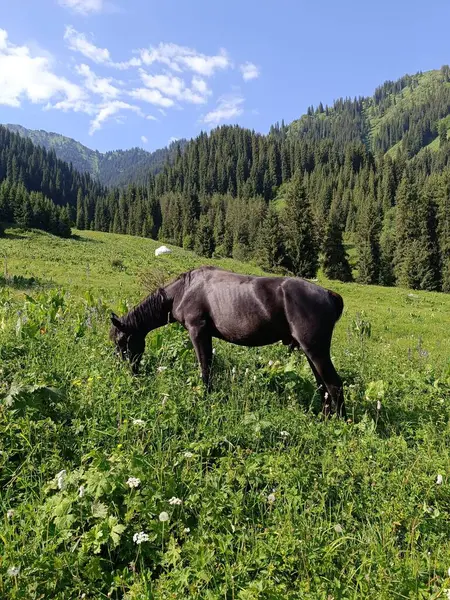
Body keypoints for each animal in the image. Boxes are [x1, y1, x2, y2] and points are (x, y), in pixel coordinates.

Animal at [110, 268, 346, 418]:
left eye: (122, 342)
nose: (130, 372)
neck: (182, 291)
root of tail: (328, 294)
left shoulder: (197, 331)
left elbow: (205, 367)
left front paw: (205, 397)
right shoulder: (206, 335)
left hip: (316, 351)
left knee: (334, 385)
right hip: (311, 352)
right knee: (323, 386)